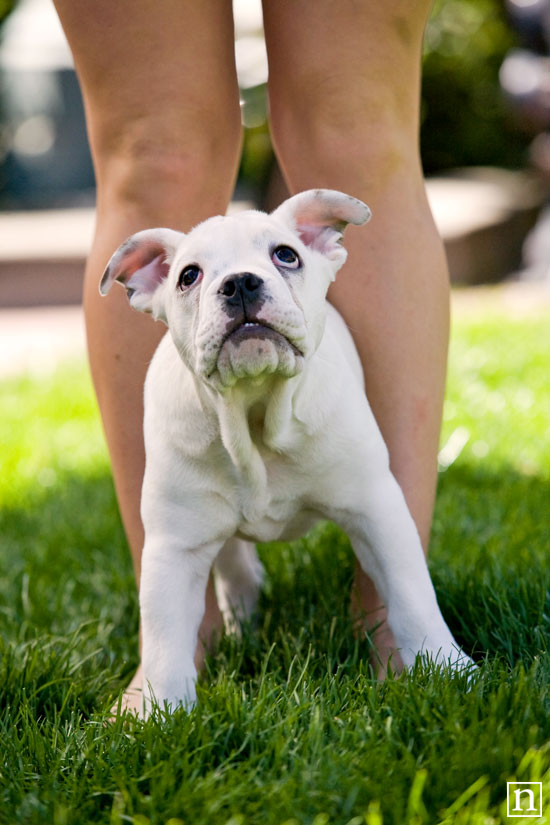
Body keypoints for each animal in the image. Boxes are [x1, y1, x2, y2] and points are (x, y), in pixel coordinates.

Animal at [101, 187, 476, 716]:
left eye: (286, 255)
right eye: (188, 276)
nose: (239, 283)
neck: (256, 413)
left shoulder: (375, 508)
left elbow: (411, 593)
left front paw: (450, 669)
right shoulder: (174, 547)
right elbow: (165, 640)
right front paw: (158, 713)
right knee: (234, 566)